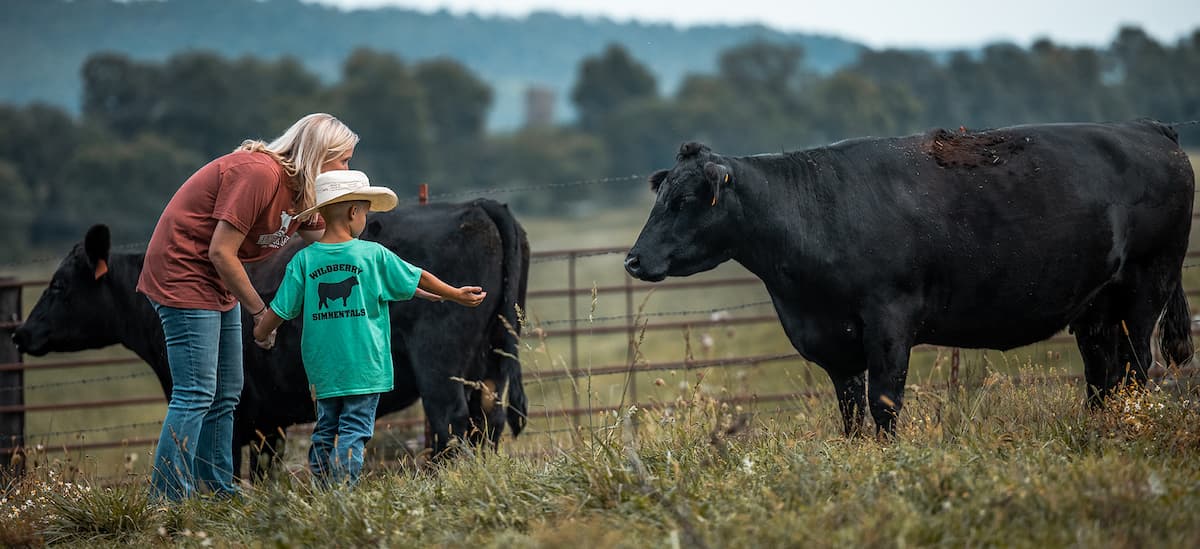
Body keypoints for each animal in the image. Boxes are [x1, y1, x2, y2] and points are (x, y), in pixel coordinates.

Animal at [12, 197, 530, 477]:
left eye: (58, 286)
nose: (20, 333)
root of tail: (477, 205)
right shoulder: (269, 421)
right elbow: (263, 471)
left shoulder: (241, 413)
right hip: (488, 360)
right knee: (487, 421)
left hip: (440, 365)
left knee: (452, 425)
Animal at [624, 119, 1195, 436]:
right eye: (662, 195)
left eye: (684, 200)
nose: (632, 260)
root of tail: (1148, 128)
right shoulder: (834, 343)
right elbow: (851, 412)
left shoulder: (889, 323)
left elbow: (883, 404)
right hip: (1096, 307)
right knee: (1104, 373)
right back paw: (1101, 426)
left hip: (1147, 286)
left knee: (1137, 367)